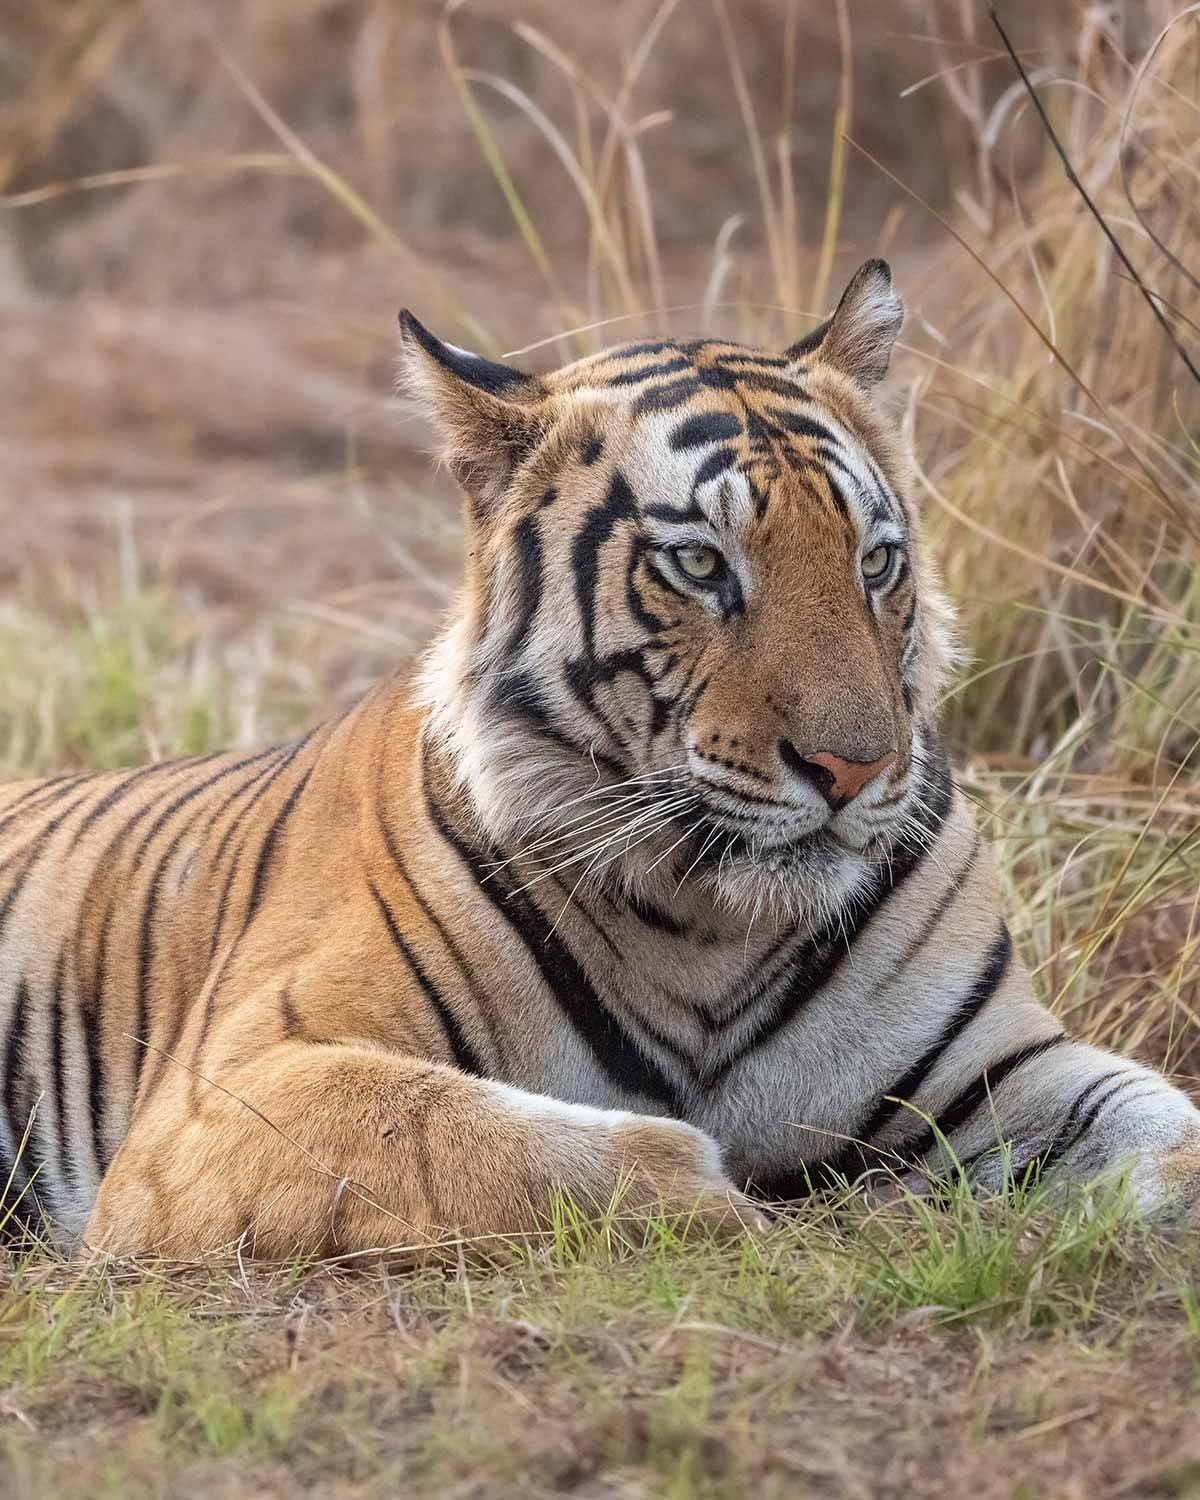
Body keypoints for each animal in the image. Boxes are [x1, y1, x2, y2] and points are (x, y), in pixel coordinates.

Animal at [1, 258, 1198, 1259]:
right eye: (701, 565)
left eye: (875, 562)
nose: (852, 770)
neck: (711, 927)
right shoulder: (230, 1090)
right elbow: (507, 1144)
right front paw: (744, 1209)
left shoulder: (999, 1066)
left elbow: (1173, 1133)